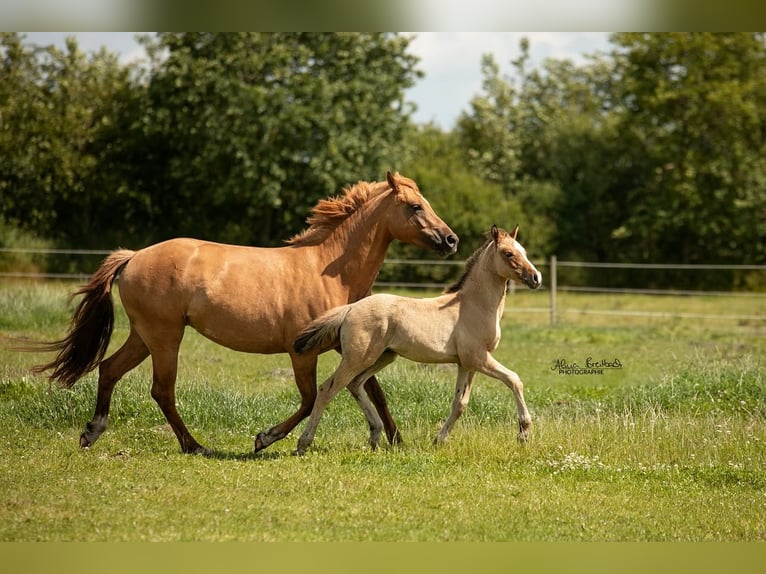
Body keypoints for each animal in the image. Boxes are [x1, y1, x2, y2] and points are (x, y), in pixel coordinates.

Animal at [30, 171, 460, 454]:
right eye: (415, 206)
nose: (451, 239)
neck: (327, 269)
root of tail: (133, 256)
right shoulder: (302, 352)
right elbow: (312, 398)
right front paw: (265, 438)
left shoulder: (351, 343)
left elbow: (372, 390)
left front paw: (396, 440)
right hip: (165, 337)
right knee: (161, 390)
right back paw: (195, 446)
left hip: (144, 336)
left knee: (109, 369)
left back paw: (92, 432)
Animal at [292, 225, 540, 454]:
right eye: (508, 253)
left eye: (524, 251)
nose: (536, 278)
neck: (473, 305)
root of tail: (350, 308)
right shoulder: (479, 358)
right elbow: (514, 380)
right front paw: (523, 433)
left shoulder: (466, 364)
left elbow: (459, 404)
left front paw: (439, 440)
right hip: (357, 359)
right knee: (328, 389)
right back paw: (303, 444)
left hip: (382, 358)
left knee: (355, 384)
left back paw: (375, 436)